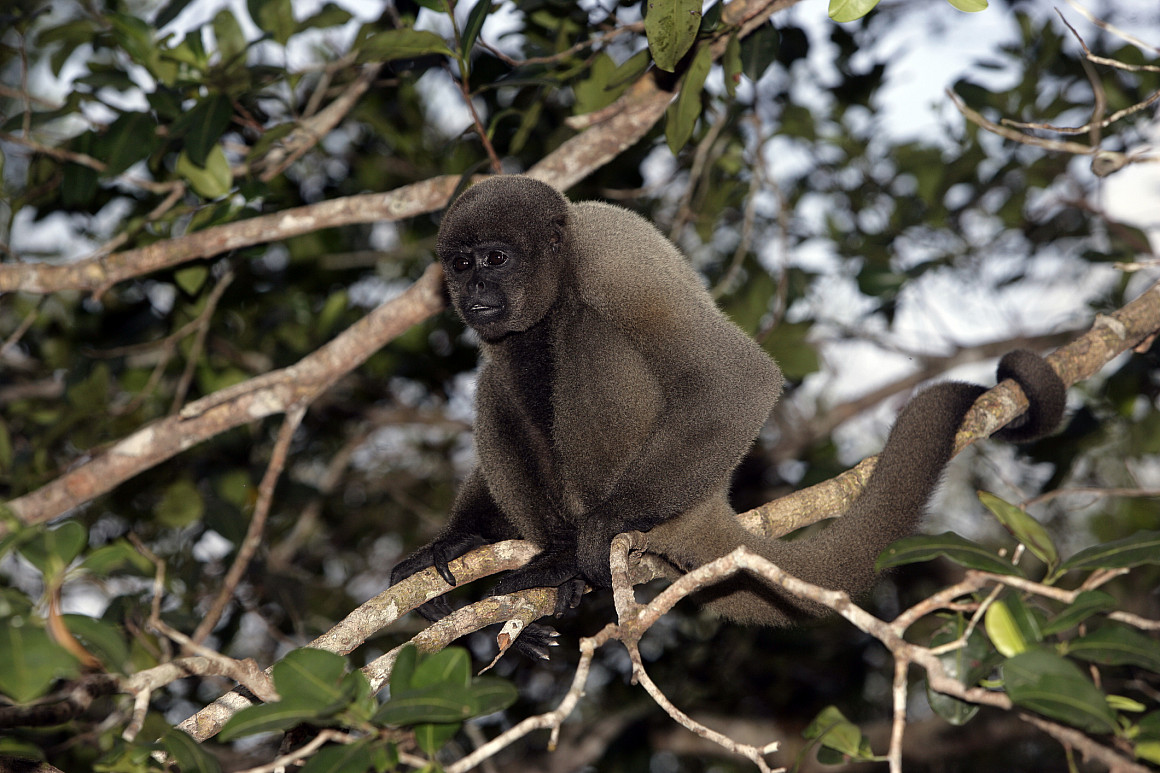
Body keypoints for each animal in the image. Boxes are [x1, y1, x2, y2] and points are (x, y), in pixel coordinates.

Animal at [389, 175, 1066, 656]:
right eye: (460, 263)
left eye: (496, 258)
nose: (472, 291)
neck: (561, 263)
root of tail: (708, 499)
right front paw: (458, 538)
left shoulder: (614, 262)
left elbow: (739, 377)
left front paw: (595, 535)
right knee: (501, 376)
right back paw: (548, 565)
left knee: (582, 331)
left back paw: (573, 557)